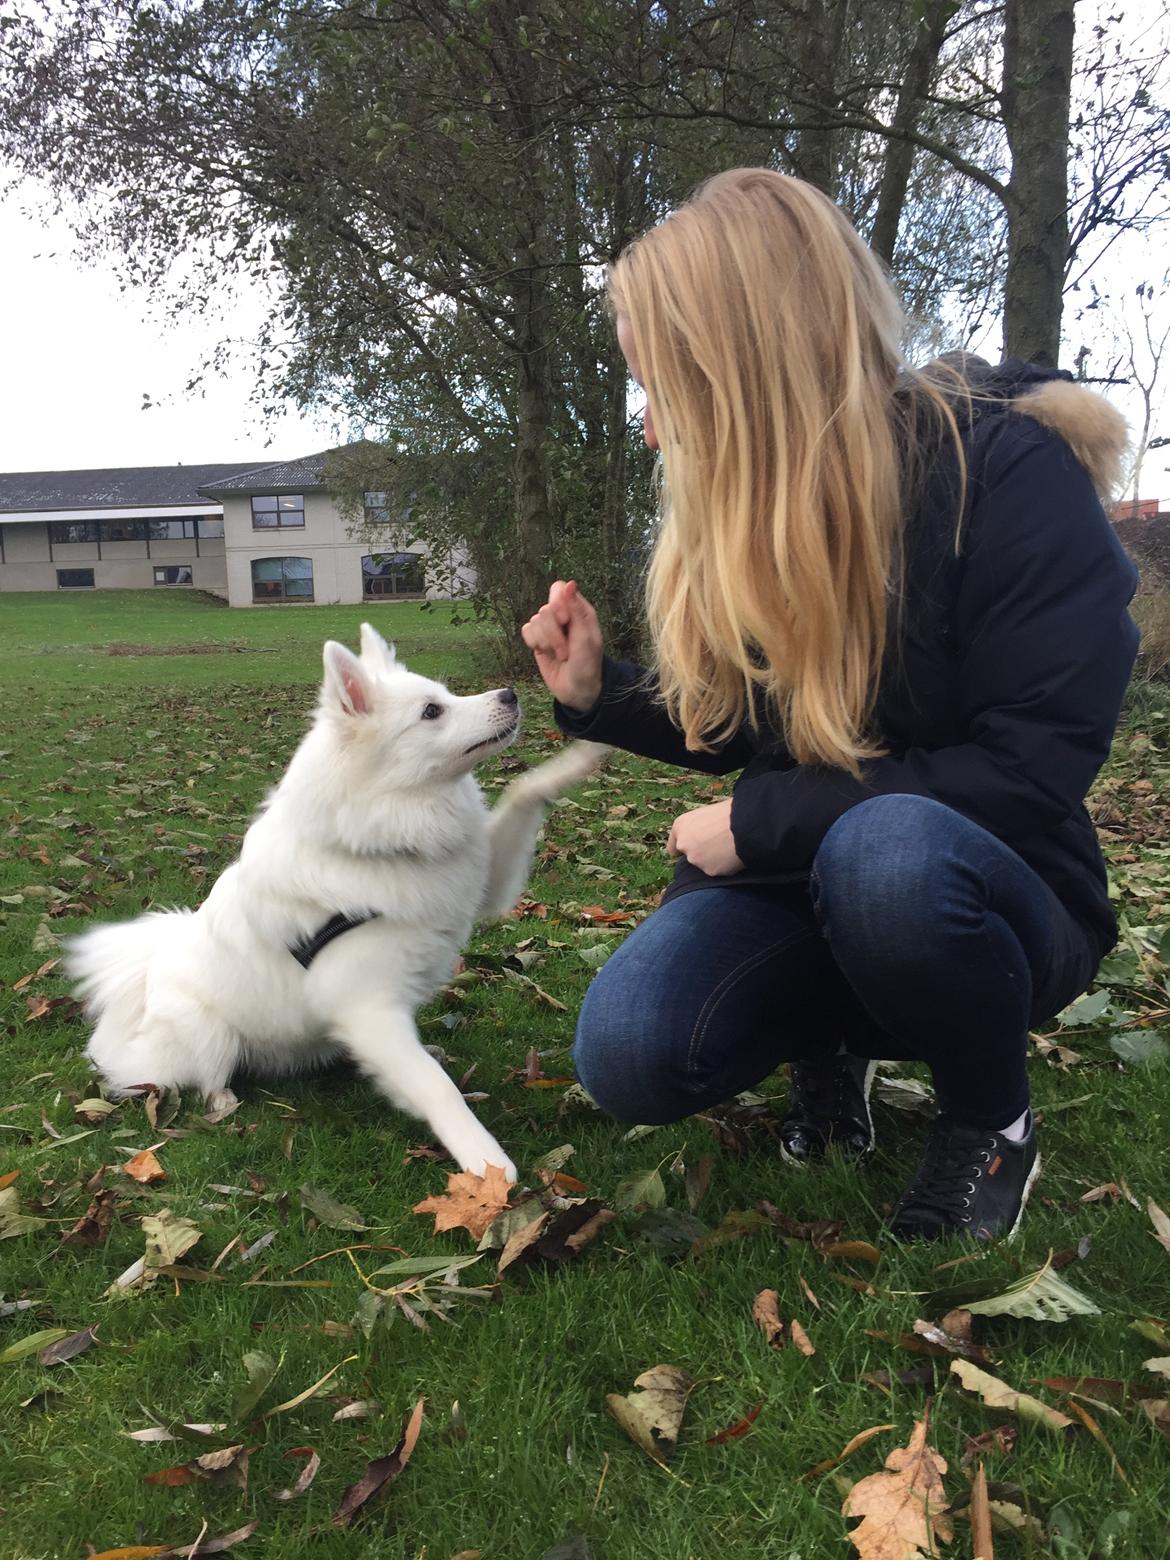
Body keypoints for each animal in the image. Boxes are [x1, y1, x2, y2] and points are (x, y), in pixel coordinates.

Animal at [68, 624, 608, 1179]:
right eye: (431, 711)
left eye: (446, 695)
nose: (510, 695)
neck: (382, 837)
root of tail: (149, 973)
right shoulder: (370, 1008)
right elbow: (436, 1088)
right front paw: (485, 1161)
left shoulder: (483, 884)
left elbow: (524, 788)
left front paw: (584, 750)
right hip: (210, 1035)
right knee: (196, 1076)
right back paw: (223, 1101)